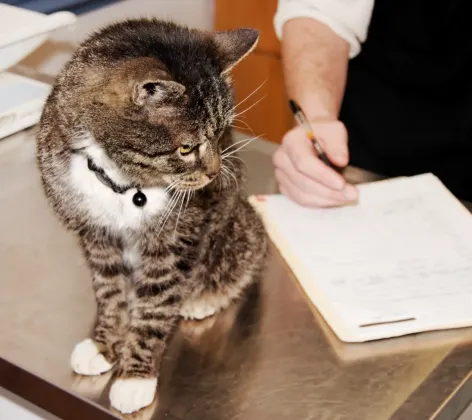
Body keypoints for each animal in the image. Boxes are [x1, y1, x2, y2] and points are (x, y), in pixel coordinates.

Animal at [36, 18, 270, 414]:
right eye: (186, 148)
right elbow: (109, 292)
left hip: (240, 231)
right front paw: (104, 344)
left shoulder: (174, 241)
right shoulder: (95, 235)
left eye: (222, 133)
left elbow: (157, 305)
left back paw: (202, 299)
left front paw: (135, 377)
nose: (214, 173)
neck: (124, 184)